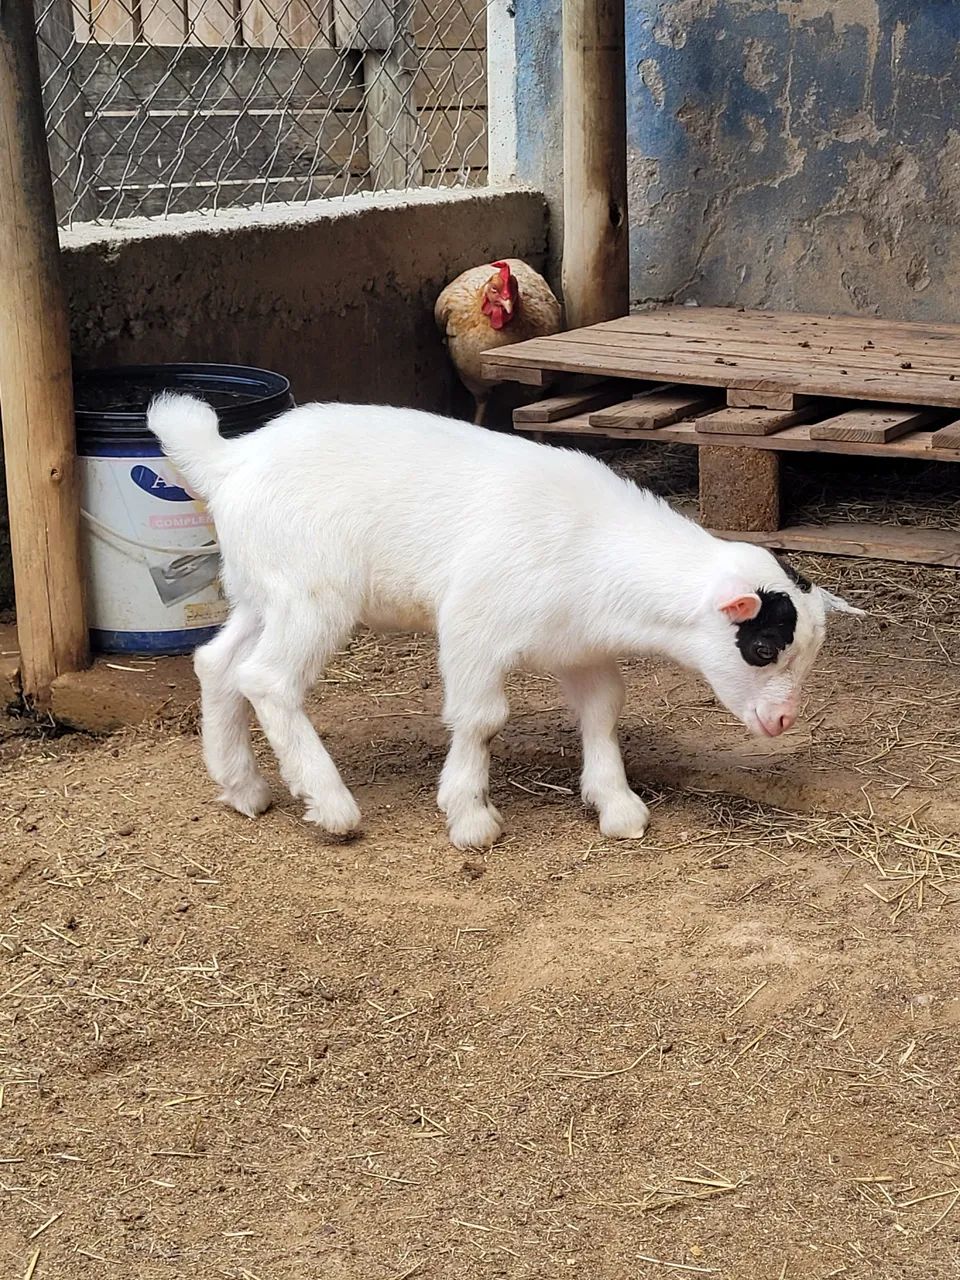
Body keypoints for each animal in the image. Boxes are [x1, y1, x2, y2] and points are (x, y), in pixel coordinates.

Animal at [147, 395, 863, 849]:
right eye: (762, 647)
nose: (782, 721)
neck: (594, 543)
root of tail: (230, 460)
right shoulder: (473, 625)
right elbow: (481, 720)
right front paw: (468, 816)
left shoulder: (580, 646)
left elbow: (603, 710)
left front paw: (616, 803)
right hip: (311, 592)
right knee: (267, 679)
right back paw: (331, 805)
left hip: (262, 588)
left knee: (219, 663)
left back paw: (242, 786)